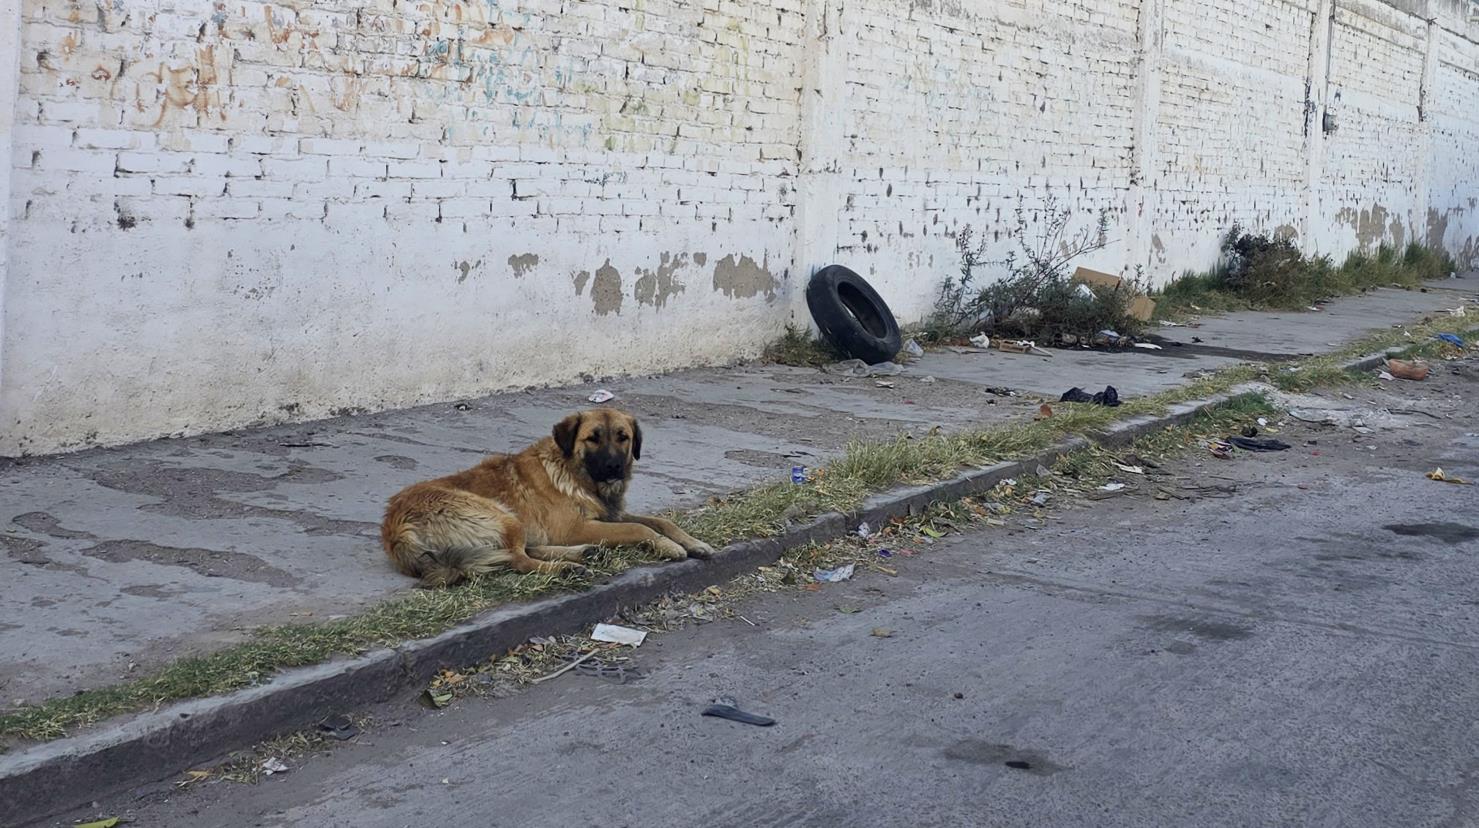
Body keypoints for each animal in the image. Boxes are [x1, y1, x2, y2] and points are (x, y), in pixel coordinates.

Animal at [375, 405, 709, 585]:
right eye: (592, 438)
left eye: (622, 437)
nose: (614, 466)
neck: (573, 472)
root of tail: (395, 527)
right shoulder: (576, 527)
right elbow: (640, 527)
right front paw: (669, 547)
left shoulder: (609, 514)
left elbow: (661, 521)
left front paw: (694, 542)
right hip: (501, 515)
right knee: (519, 559)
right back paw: (566, 567)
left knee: (524, 551)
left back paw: (583, 554)